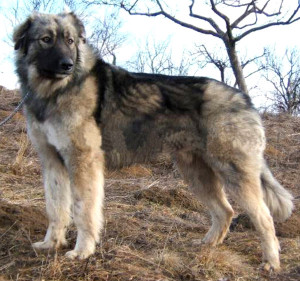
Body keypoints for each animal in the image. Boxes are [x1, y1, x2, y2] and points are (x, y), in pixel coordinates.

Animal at [13, 12, 292, 270]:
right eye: (46, 40)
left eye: (70, 41)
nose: (67, 65)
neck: (56, 91)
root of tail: (245, 99)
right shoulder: (52, 162)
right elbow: (56, 208)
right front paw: (51, 244)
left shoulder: (83, 162)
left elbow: (83, 211)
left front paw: (82, 251)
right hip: (196, 173)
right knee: (226, 211)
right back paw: (207, 245)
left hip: (233, 173)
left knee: (264, 218)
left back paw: (271, 261)